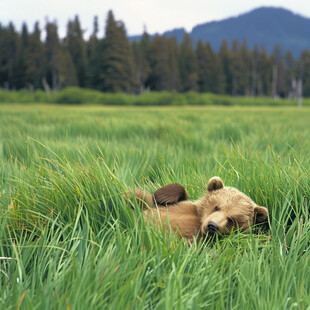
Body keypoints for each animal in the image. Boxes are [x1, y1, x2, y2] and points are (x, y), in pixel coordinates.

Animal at [124, 176, 268, 243]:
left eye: (232, 219)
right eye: (216, 207)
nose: (212, 225)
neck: (199, 220)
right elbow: (148, 200)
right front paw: (162, 195)